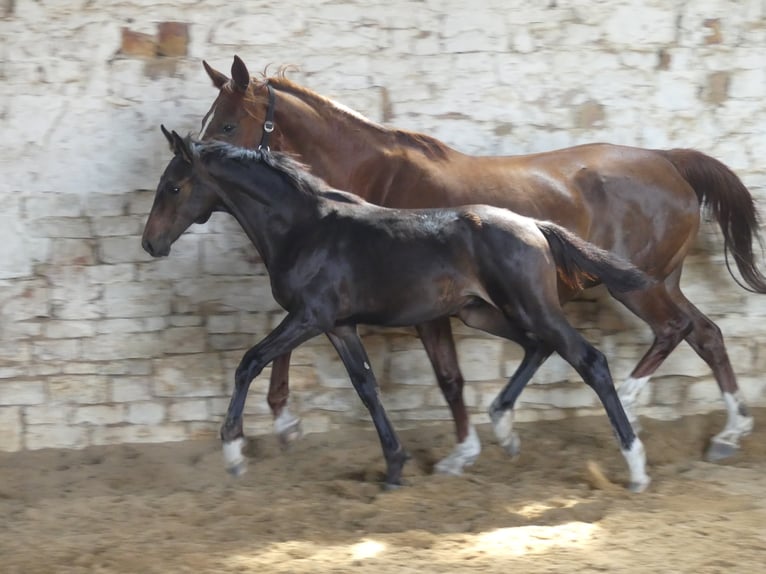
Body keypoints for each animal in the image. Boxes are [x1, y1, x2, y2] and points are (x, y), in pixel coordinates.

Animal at [144, 129, 656, 490]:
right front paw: (394, 467)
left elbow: (249, 362)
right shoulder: (339, 326)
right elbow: (366, 387)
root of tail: (534, 225)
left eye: (172, 187)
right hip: (483, 312)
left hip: (529, 307)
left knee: (589, 360)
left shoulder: (310, 317)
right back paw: (504, 427)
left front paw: (233, 453)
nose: (150, 244)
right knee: (538, 347)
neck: (306, 229)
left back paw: (635, 467)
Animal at [189, 55, 764, 468]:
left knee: (674, 330)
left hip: (640, 285)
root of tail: (670, 161)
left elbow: (448, 376)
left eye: (228, 124)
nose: (193, 159)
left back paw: (634, 400)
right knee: (705, 333)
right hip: (662, 280)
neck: (378, 179)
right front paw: (283, 419)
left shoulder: (416, 306)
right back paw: (729, 432)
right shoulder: (338, 296)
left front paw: (462, 451)